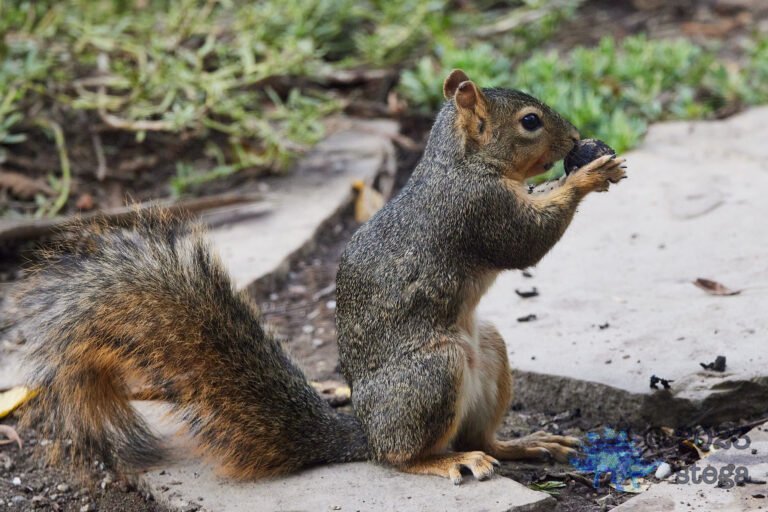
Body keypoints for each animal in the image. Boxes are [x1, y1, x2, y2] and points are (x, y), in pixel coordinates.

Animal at [12, 69, 626, 484]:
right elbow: (525, 242)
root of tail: (365, 430)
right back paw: (447, 460)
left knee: (485, 435)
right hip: (433, 372)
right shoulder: (475, 211)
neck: (460, 162)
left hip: (489, 351)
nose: (575, 140)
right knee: (402, 456)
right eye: (530, 122)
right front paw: (588, 174)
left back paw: (524, 444)